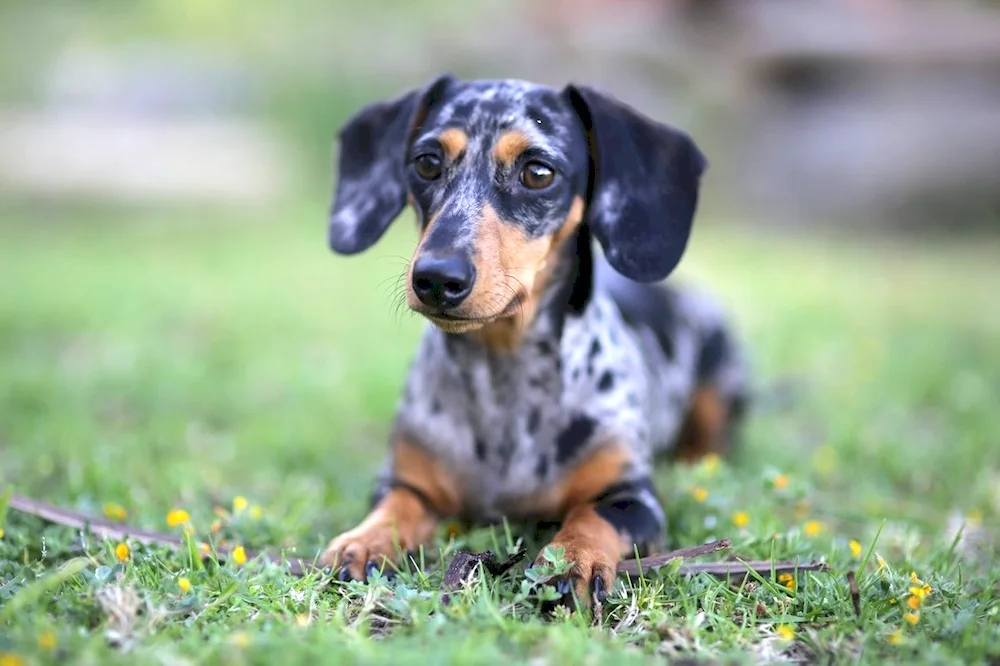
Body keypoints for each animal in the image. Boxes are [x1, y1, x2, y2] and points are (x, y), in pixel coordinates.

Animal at [316, 74, 748, 608]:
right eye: (426, 162)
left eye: (538, 172)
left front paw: (574, 558)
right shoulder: (404, 482)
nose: (436, 278)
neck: (504, 383)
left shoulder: (633, 497)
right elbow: (394, 508)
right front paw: (362, 541)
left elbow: (592, 517)